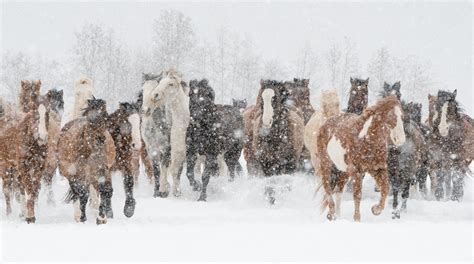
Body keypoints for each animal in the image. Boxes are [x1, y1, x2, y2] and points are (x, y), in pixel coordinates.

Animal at [141, 69, 191, 197]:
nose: (146, 110)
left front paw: (164, 191)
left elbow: (166, 168)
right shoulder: (152, 150)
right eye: (142, 89)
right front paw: (157, 192)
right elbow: (156, 171)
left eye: (155, 85)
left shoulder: (168, 149)